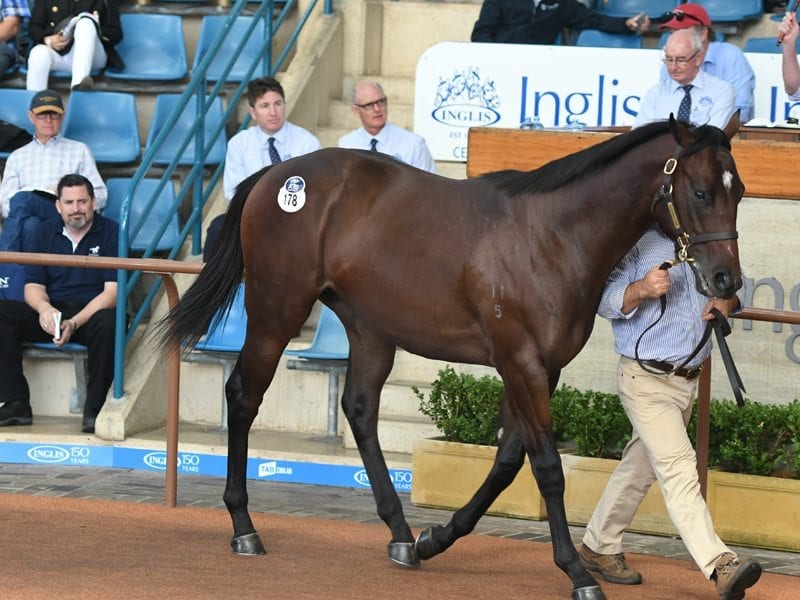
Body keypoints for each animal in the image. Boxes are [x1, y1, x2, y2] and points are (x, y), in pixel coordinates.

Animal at [161, 113, 744, 600]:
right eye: (699, 191)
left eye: (738, 190)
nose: (727, 282)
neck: (552, 237)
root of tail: (275, 175)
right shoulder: (519, 360)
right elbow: (547, 467)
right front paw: (578, 573)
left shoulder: (542, 367)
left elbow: (508, 461)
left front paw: (435, 537)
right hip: (277, 310)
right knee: (243, 396)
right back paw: (245, 528)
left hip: (369, 327)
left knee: (359, 409)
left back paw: (400, 535)